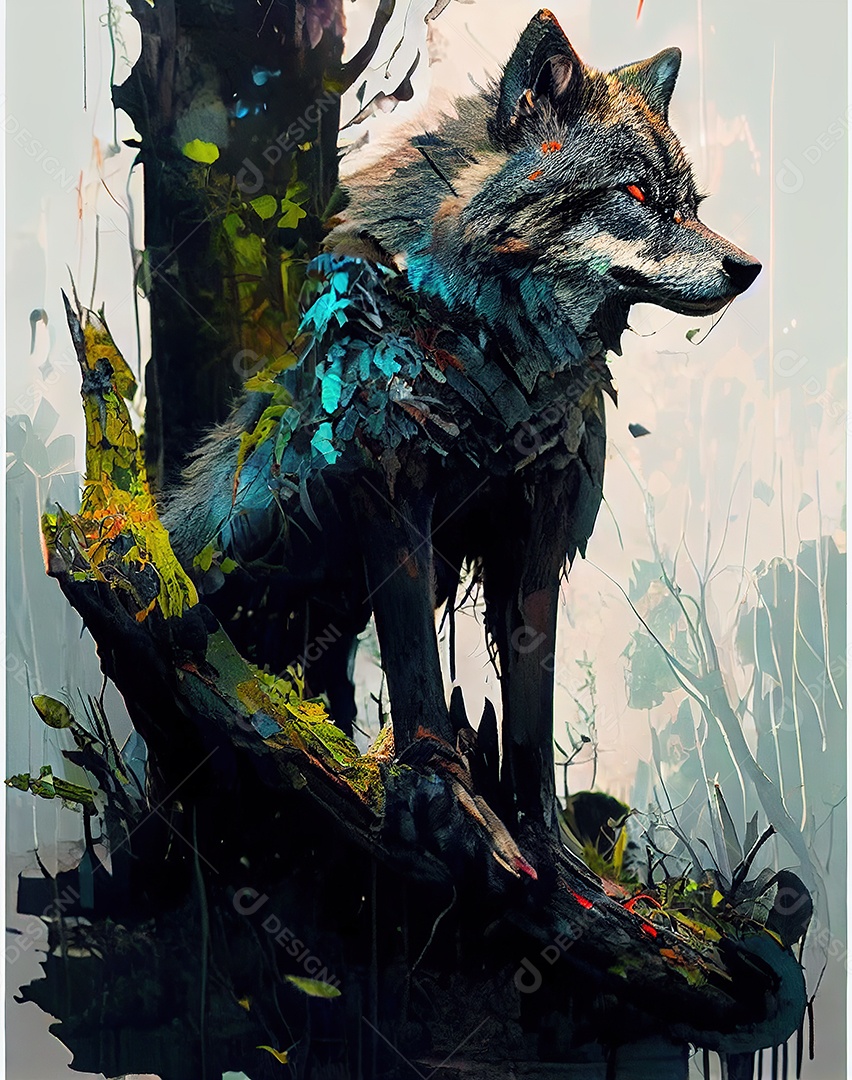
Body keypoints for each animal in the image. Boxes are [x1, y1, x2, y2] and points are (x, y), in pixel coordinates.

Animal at [163, 10, 760, 831]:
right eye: (636, 192)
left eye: (692, 205)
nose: (748, 268)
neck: (499, 372)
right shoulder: (394, 495)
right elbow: (415, 659)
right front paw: (430, 783)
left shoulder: (539, 528)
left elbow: (531, 697)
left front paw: (541, 829)